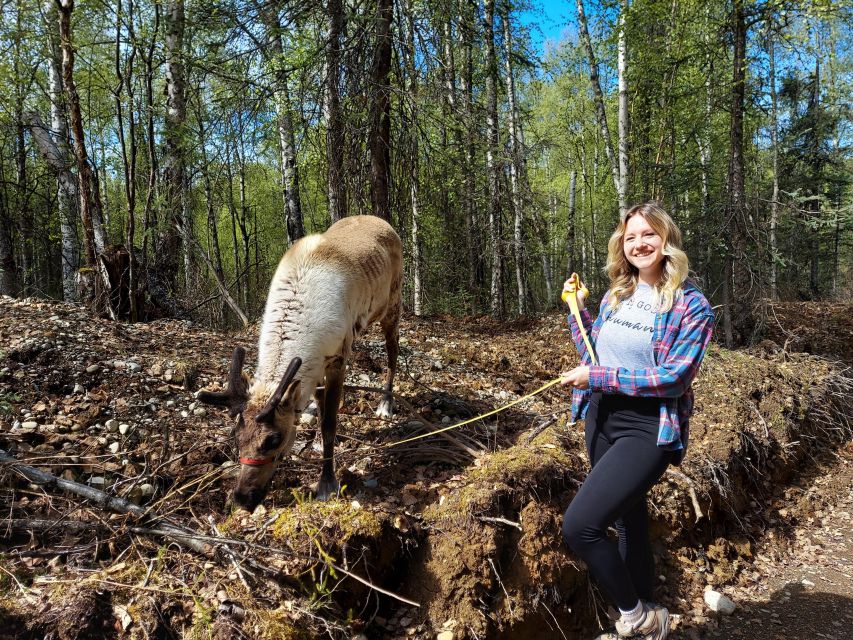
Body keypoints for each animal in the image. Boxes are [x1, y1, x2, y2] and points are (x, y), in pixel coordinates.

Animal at [198, 216, 402, 512]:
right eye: (236, 436)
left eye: (273, 439)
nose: (243, 498)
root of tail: (382, 221)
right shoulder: (313, 366)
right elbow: (319, 410)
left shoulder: (336, 359)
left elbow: (329, 423)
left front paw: (327, 483)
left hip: (392, 306)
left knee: (393, 353)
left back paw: (386, 403)